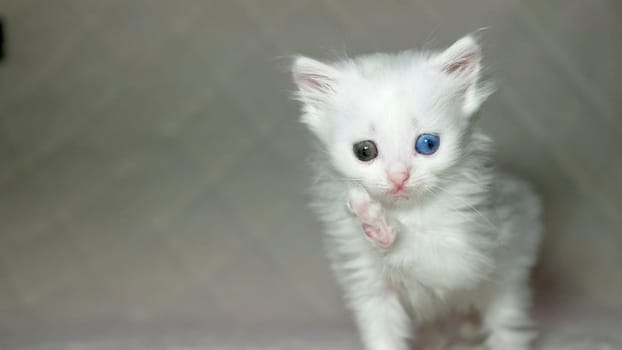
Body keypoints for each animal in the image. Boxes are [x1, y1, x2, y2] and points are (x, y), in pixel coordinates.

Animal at [292, 35, 540, 350]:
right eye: (365, 151)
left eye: (427, 144)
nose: (399, 177)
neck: (406, 210)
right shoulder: (368, 286)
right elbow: (382, 334)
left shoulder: (468, 254)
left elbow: (423, 250)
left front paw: (379, 225)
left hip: (510, 274)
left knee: (506, 325)